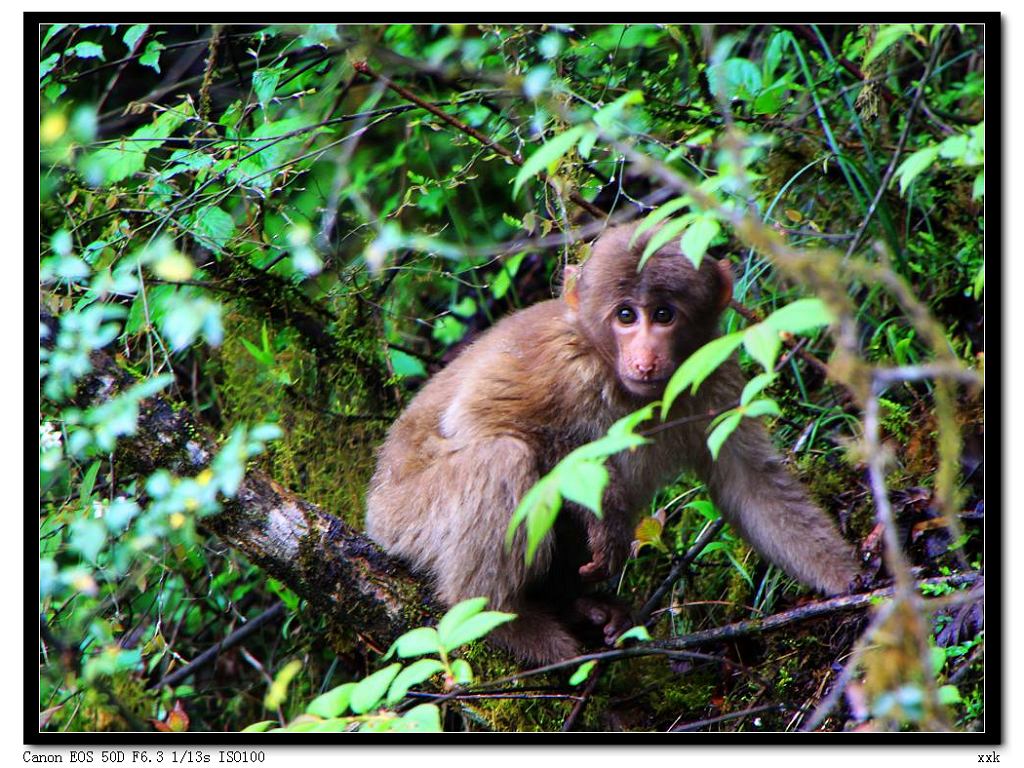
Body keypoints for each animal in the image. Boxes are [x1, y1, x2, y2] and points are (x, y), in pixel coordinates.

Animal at [364, 224, 860, 667]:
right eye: (626, 316)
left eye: (663, 315)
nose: (645, 357)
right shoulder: (556, 357)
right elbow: (477, 420)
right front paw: (610, 510)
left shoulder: (712, 377)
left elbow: (750, 483)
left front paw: (852, 579)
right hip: (407, 518)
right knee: (503, 456)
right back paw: (500, 618)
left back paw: (574, 604)